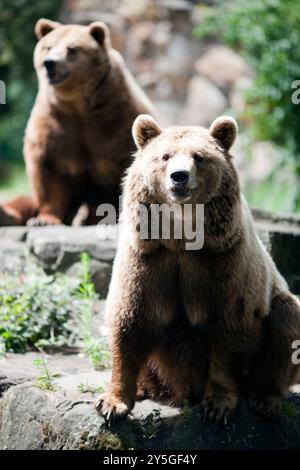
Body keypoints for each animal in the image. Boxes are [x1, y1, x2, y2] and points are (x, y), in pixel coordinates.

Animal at [0, 17, 154, 224]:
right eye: (48, 47)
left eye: (72, 49)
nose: (50, 63)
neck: (78, 105)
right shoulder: (54, 124)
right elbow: (46, 169)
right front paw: (45, 219)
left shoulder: (117, 118)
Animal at [96, 113, 300, 422]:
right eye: (165, 156)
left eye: (199, 157)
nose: (179, 175)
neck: (181, 237)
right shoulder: (149, 258)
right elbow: (130, 321)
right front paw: (112, 403)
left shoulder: (223, 259)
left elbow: (230, 327)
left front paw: (217, 405)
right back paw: (145, 388)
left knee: (287, 320)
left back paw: (265, 399)